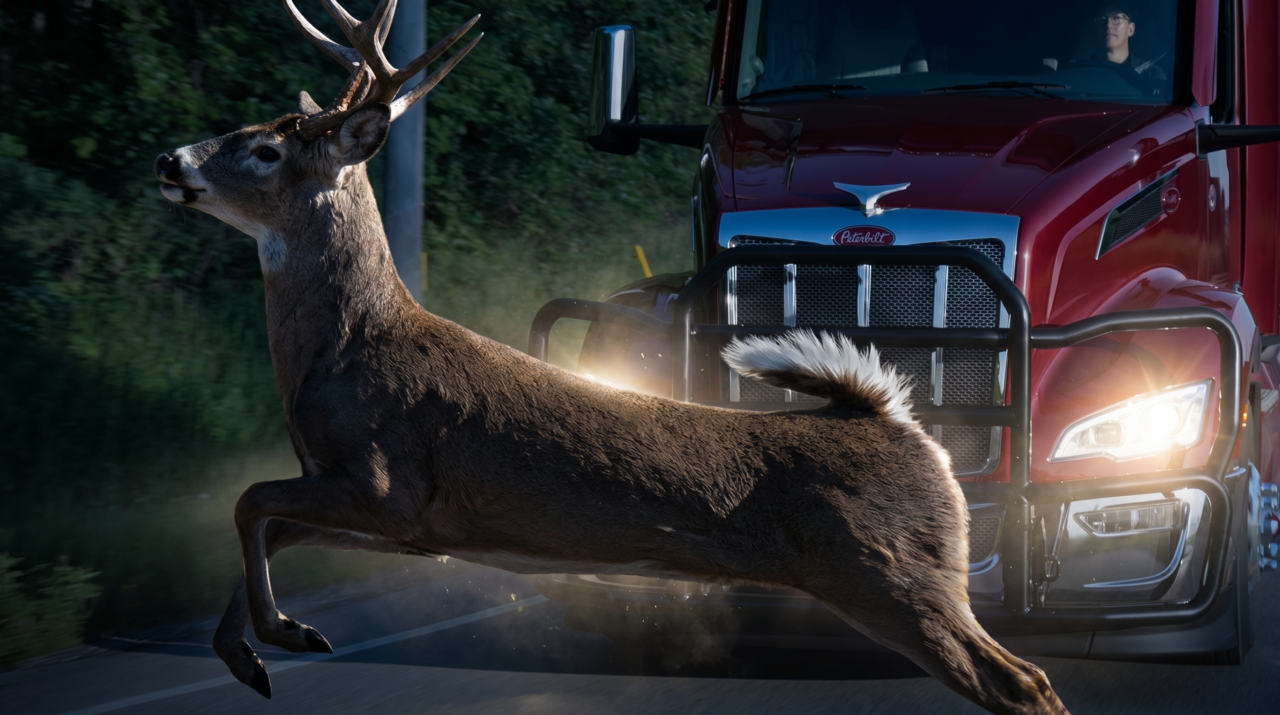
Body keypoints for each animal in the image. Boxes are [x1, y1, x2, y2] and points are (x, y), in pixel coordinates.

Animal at [151, 2, 1069, 713]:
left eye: (267, 150)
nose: (169, 159)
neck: (341, 349)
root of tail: (897, 421)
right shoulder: (396, 515)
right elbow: (266, 523)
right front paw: (260, 646)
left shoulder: (387, 481)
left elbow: (246, 500)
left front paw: (276, 634)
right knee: (1026, 676)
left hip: (889, 573)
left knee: (1019, 681)